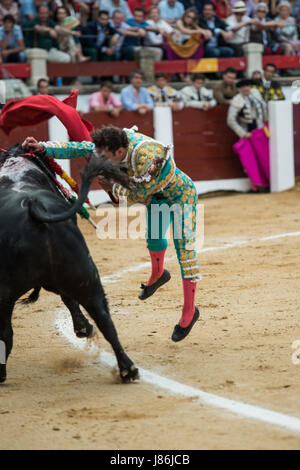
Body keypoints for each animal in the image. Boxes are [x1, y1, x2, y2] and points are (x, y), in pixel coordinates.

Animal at [0, 147, 138, 386]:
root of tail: (34, 210)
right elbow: (69, 299)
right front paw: (83, 328)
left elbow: (67, 298)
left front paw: (82, 329)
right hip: (85, 275)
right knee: (104, 318)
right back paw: (127, 369)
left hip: (9, 291)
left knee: (6, 332)